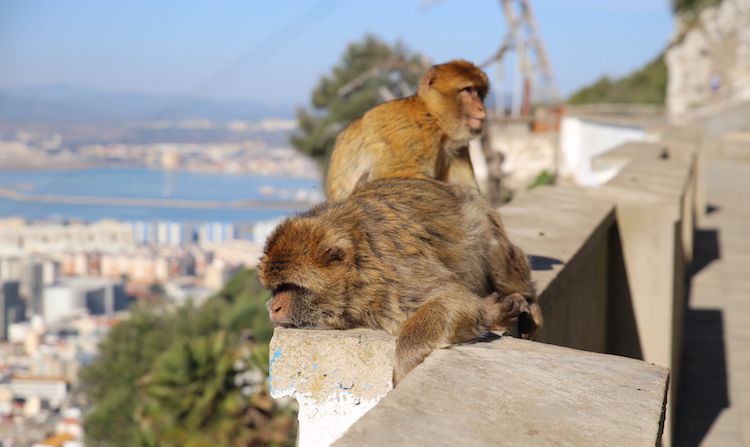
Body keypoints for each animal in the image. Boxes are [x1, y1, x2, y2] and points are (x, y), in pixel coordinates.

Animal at [258, 178, 540, 384]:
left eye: (291, 287)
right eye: (275, 289)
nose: (273, 307)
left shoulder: (394, 272)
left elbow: (456, 298)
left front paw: (405, 365)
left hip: (484, 223)